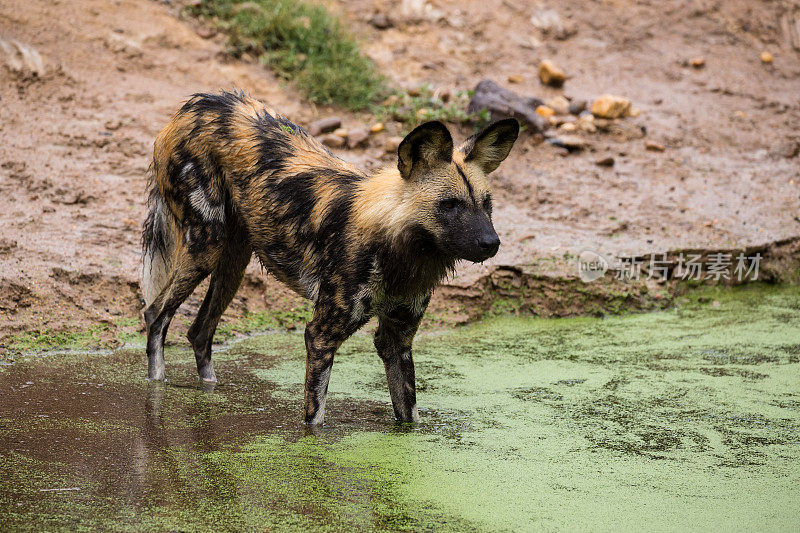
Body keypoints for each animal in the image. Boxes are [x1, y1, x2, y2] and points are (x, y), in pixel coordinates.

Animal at [143, 90, 520, 424]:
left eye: (486, 204)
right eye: (450, 204)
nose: (491, 243)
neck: (401, 250)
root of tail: (196, 105)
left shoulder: (398, 341)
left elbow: (409, 416)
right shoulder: (321, 335)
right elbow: (316, 418)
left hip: (234, 261)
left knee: (199, 332)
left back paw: (208, 387)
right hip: (206, 247)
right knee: (155, 314)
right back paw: (155, 389)